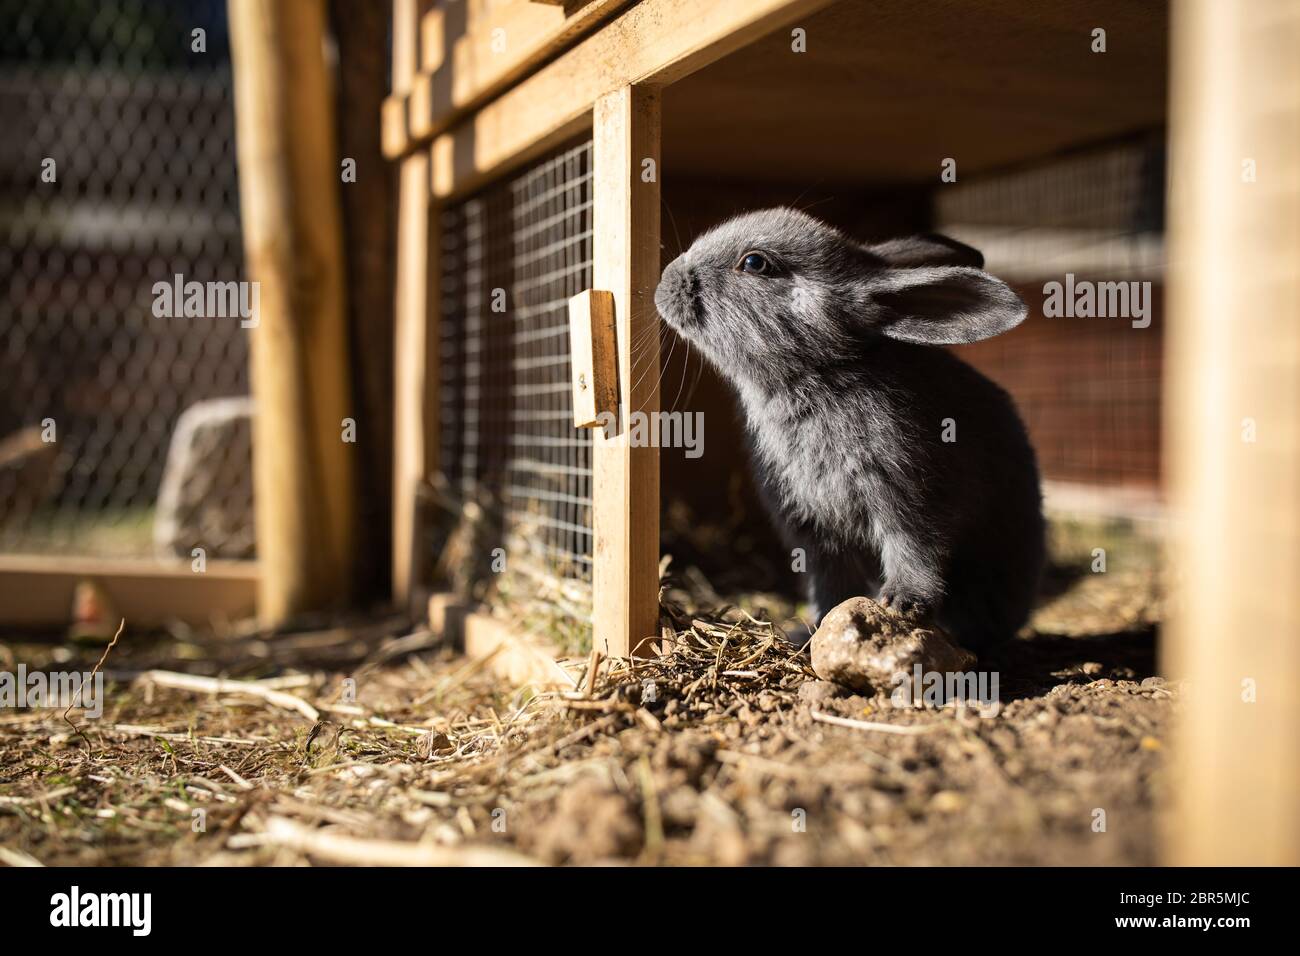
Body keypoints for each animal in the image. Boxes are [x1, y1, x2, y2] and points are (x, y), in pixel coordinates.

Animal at [653, 207, 1044, 651]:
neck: (814, 375)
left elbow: (915, 553)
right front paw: (817, 629)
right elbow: (831, 586)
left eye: (755, 263)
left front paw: (902, 604)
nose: (665, 281)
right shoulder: (815, 536)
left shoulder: (910, 500)